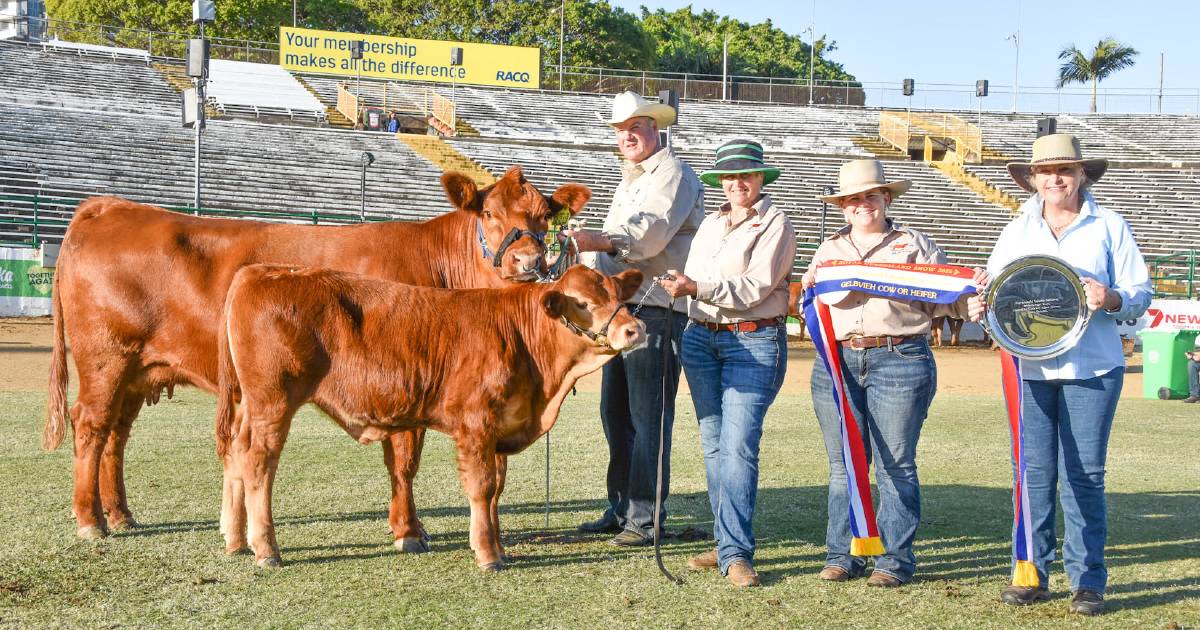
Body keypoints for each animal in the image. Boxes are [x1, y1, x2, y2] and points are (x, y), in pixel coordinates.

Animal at [43, 165, 590, 544]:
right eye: (490, 213)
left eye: (544, 217)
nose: (529, 260)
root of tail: (112, 208)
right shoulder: (404, 377)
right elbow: (404, 459)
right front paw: (408, 531)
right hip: (105, 358)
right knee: (90, 425)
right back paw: (91, 520)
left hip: (138, 368)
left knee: (116, 435)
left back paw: (119, 514)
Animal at [216, 265, 648, 568]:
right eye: (583, 302)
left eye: (619, 297)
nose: (635, 329)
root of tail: (260, 271)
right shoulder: (476, 423)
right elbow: (481, 487)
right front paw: (487, 555)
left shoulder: (499, 431)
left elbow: (496, 491)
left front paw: (499, 547)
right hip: (272, 402)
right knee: (259, 462)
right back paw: (266, 549)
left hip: (250, 407)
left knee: (236, 454)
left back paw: (236, 540)